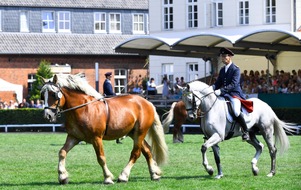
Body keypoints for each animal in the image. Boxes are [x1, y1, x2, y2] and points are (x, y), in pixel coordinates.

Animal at [39, 74, 168, 184]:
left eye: (53, 94)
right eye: (42, 95)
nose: (47, 115)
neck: (83, 109)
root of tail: (146, 102)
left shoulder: (96, 138)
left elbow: (101, 158)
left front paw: (108, 178)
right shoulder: (74, 137)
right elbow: (62, 152)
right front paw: (62, 177)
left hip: (140, 132)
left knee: (135, 153)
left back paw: (124, 176)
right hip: (133, 133)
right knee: (147, 150)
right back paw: (154, 174)